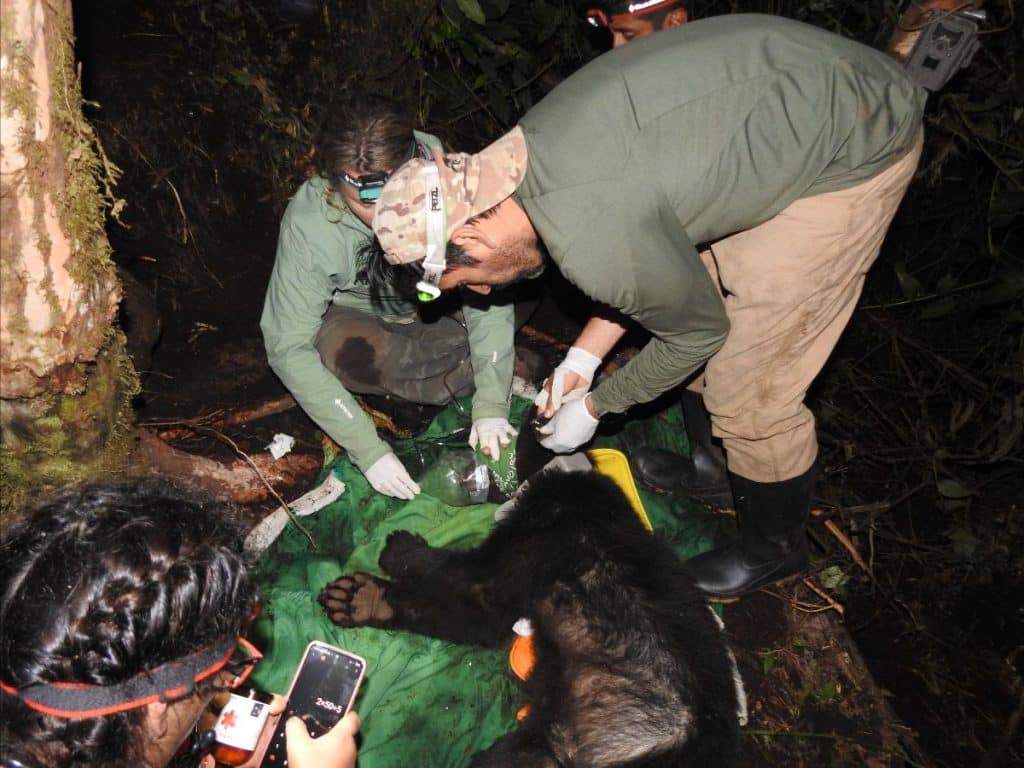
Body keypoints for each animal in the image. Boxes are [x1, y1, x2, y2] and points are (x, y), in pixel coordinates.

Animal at [317, 468, 745, 768]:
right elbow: (479, 615)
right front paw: (366, 598)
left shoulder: (543, 541)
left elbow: (478, 594)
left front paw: (390, 568)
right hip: (543, 747)